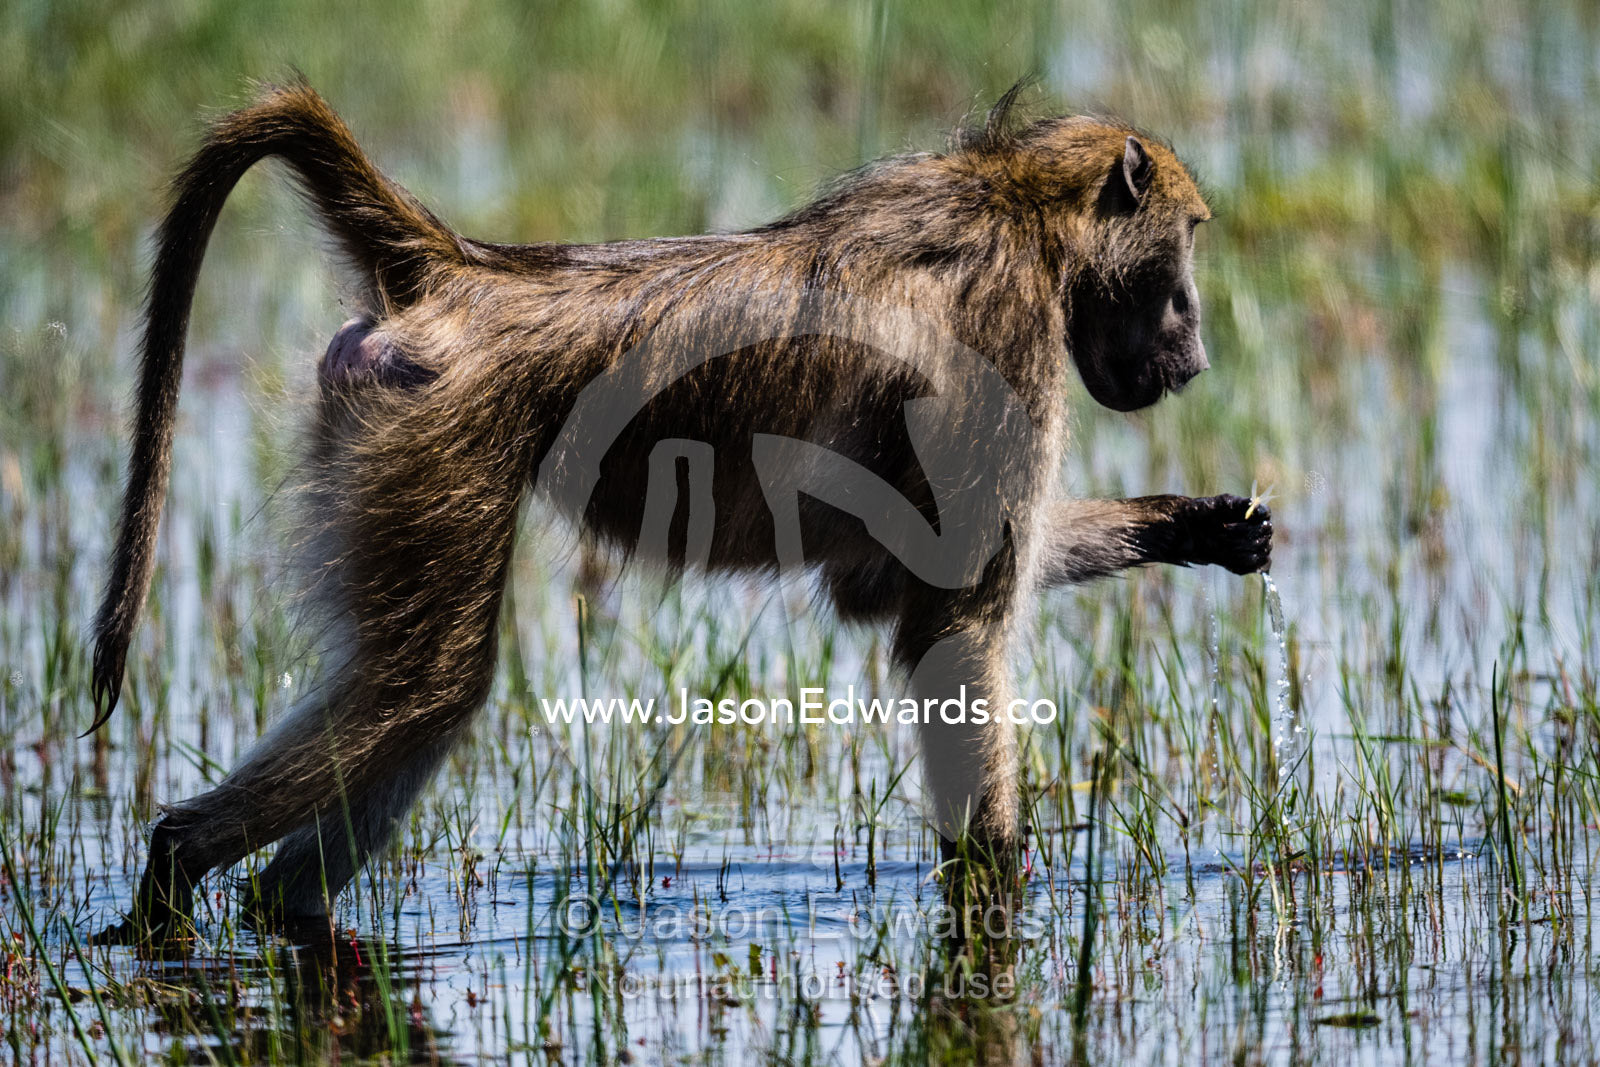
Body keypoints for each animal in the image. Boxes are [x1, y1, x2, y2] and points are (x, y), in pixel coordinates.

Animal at [88, 81, 1270, 941]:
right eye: (1183, 248)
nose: (1198, 356)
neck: (1021, 207)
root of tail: (468, 275)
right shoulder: (1004, 337)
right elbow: (956, 625)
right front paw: (996, 894)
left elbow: (890, 584)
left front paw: (1200, 523)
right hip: (441, 440)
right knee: (426, 682)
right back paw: (173, 873)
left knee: (419, 703)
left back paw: (272, 909)